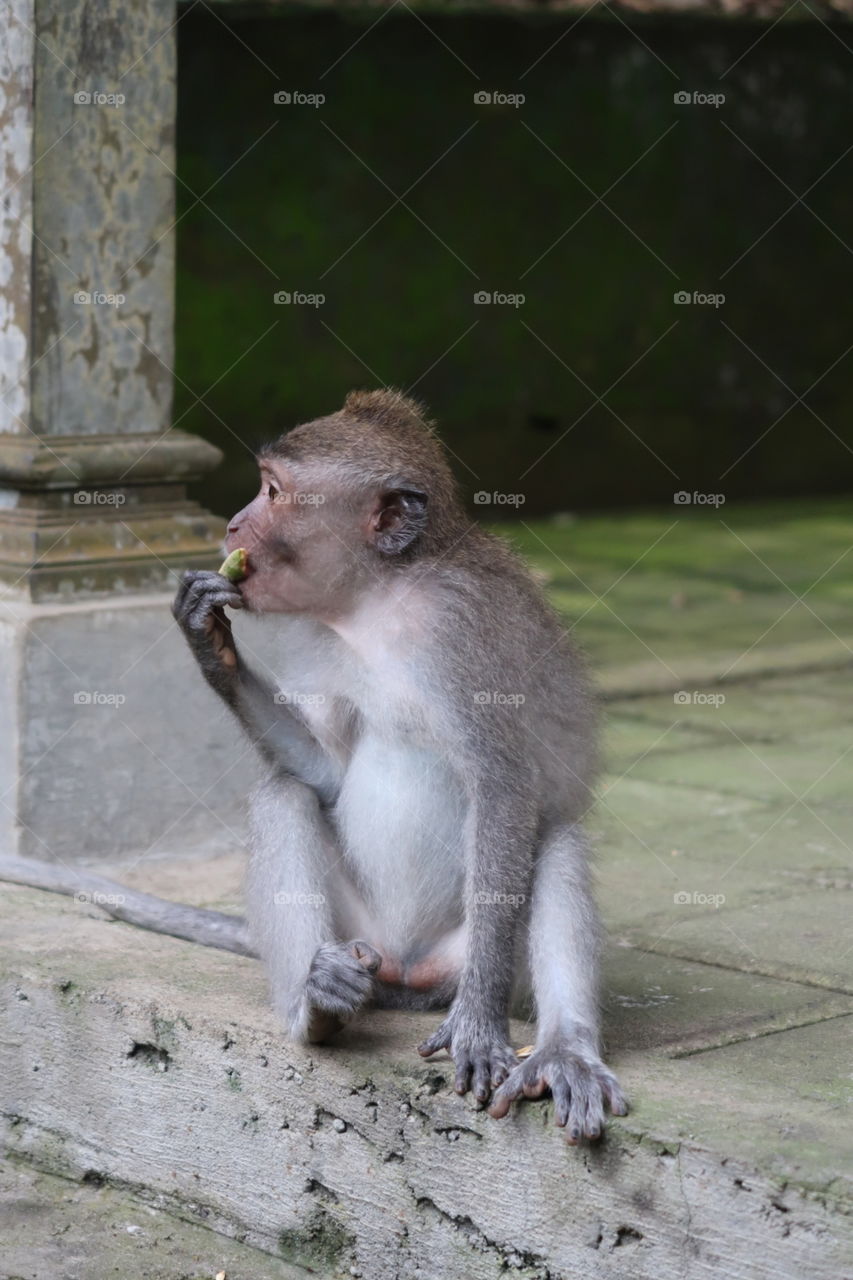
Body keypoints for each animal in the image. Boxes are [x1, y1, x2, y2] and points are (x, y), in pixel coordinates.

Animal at [0, 390, 626, 1144]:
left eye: (272, 491)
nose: (232, 522)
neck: (381, 602)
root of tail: (409, 972)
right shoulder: (327, 638)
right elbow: (323, 773)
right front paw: (208, 641)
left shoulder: (463, 632)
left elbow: (504, 785)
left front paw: (480, 1022)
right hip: (359, 936)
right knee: (283, 795)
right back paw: (317, 1003)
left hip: (462, 950)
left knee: (554, 835)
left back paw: (562, 1049)